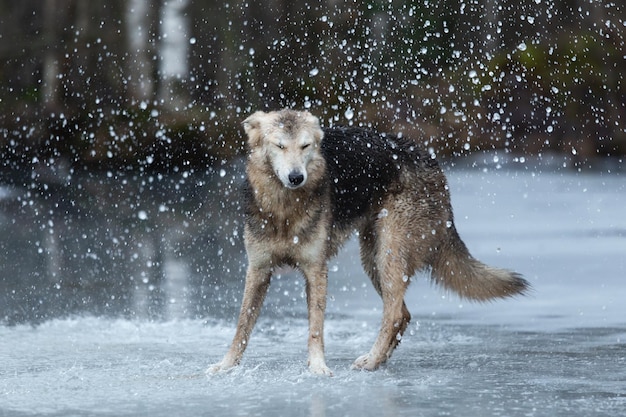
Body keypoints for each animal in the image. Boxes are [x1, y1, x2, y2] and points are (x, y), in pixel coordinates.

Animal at [208, 109, 528, 376]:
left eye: (305, 146)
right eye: (279, 146)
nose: (296, 177)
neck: (285, 209)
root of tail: (431, 161)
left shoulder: (316, 270)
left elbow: (316, 328)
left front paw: (318, 368)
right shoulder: (258, 270)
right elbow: (241, 327)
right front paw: (225, 366)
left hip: (388, 256)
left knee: (394, 314)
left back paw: (372, 361)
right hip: (372, 260)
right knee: (403, 314)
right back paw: (378, 361)